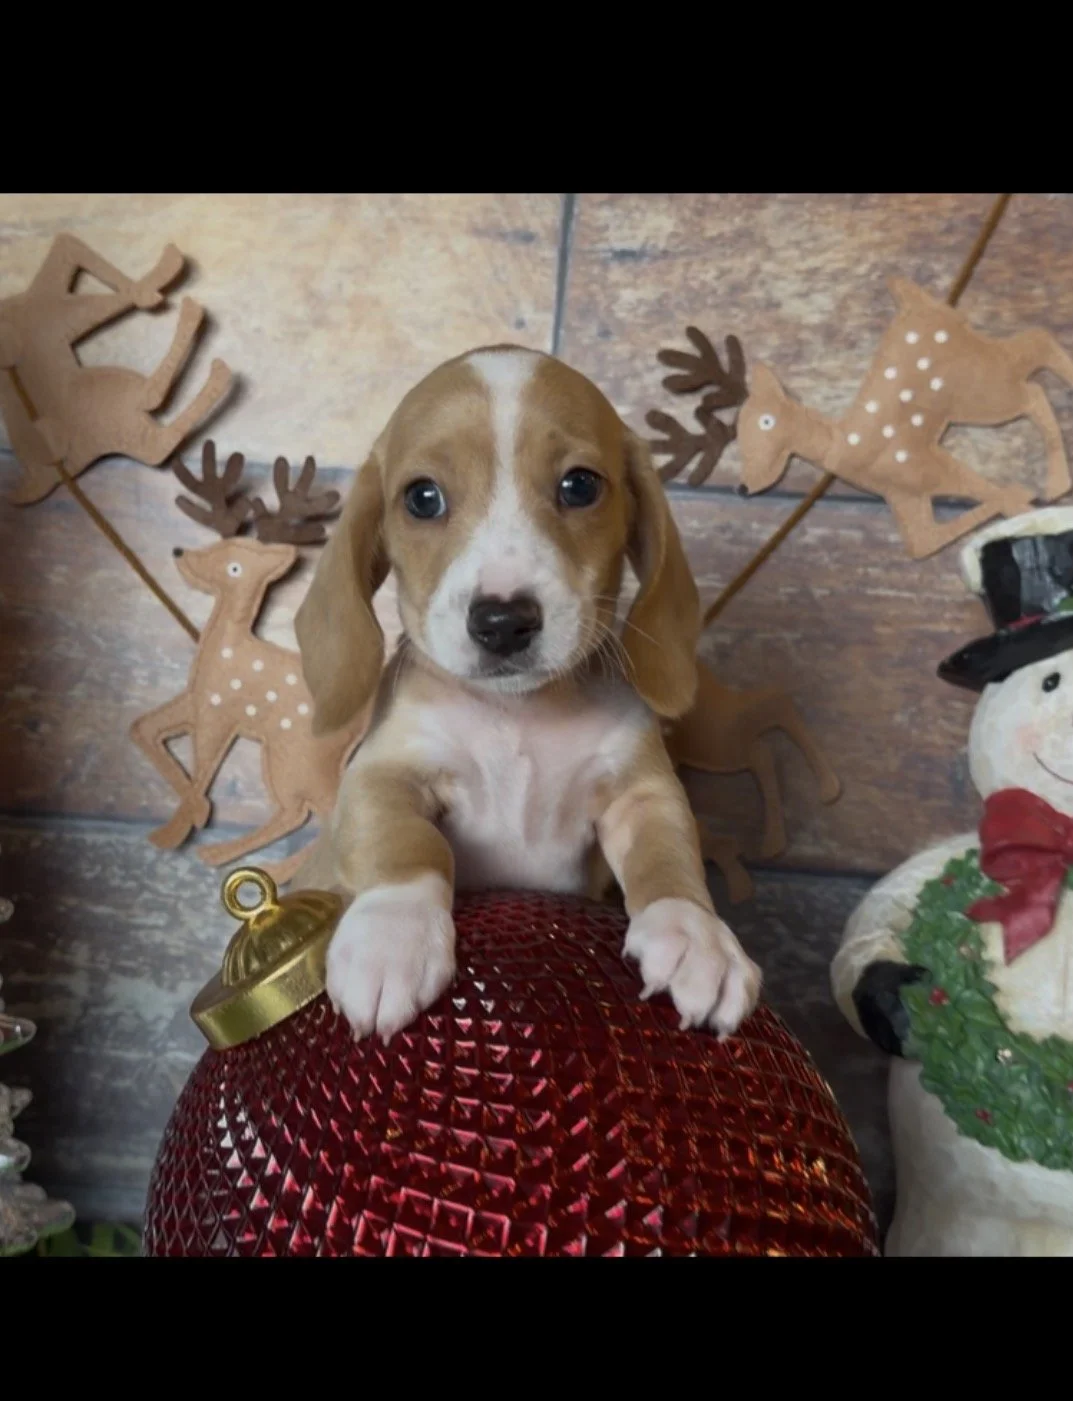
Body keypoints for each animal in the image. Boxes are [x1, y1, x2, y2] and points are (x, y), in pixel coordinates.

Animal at [295, 345, 762, 1043]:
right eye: (422, 498)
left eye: (580, 486)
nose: (502, 621)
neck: (520, 715)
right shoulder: (382, 775)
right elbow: (405, 847)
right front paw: (391, 936)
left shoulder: (640, 792)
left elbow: (668, 854)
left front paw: (696, 934)